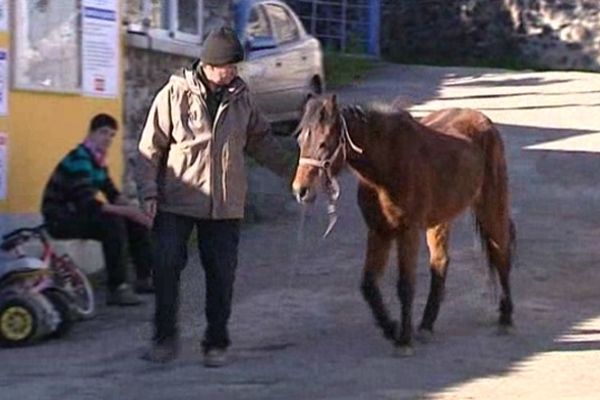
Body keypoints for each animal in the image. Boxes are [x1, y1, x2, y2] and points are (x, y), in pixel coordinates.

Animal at [292, 95, 512, 354]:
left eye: (324, 142)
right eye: (300, 139)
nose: (301, 190)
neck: (387, 165)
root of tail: (483, 121)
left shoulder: (408, 232)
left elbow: (405, 285)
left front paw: (403, 340)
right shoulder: (378, 231)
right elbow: (368, 284)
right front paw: (391, 327)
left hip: (491, 205)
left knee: (501, 254)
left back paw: (506, 318)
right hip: (439, 220)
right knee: (440, 262)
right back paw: (426, 325)